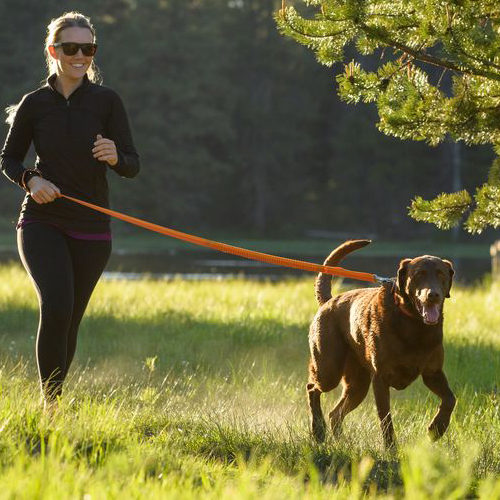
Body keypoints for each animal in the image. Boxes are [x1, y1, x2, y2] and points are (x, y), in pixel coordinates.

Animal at [306, 240, 456, 448]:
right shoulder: (381, 378)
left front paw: (437, 429)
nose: (432, 295)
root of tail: (329, 301)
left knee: (335, 413)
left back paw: (341, 442)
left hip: (358, 383)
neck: (414, 325)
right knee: (312, 388)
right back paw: (318, 431)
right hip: (329, 368)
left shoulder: (432, 373)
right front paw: (391, 449)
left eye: (441, 274)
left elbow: (450, 399)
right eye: (419, 274)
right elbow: (386, 418)